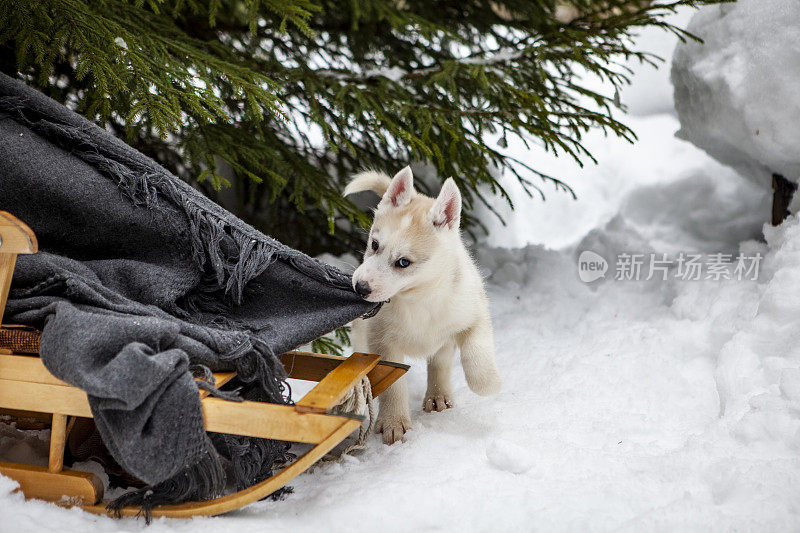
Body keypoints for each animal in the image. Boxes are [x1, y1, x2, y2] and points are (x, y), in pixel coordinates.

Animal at [342, 166, 500, 444]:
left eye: (403, 263)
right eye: (374, 245)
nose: (360, 287)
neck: (418, 298)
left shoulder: (474, 314)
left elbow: (476, 355)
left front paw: (490, 383)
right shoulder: (382, 341)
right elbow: (393, 386)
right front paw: (394, 423)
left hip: (444, 340)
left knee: (440, 362)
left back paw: (438, 396)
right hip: (363, 334)